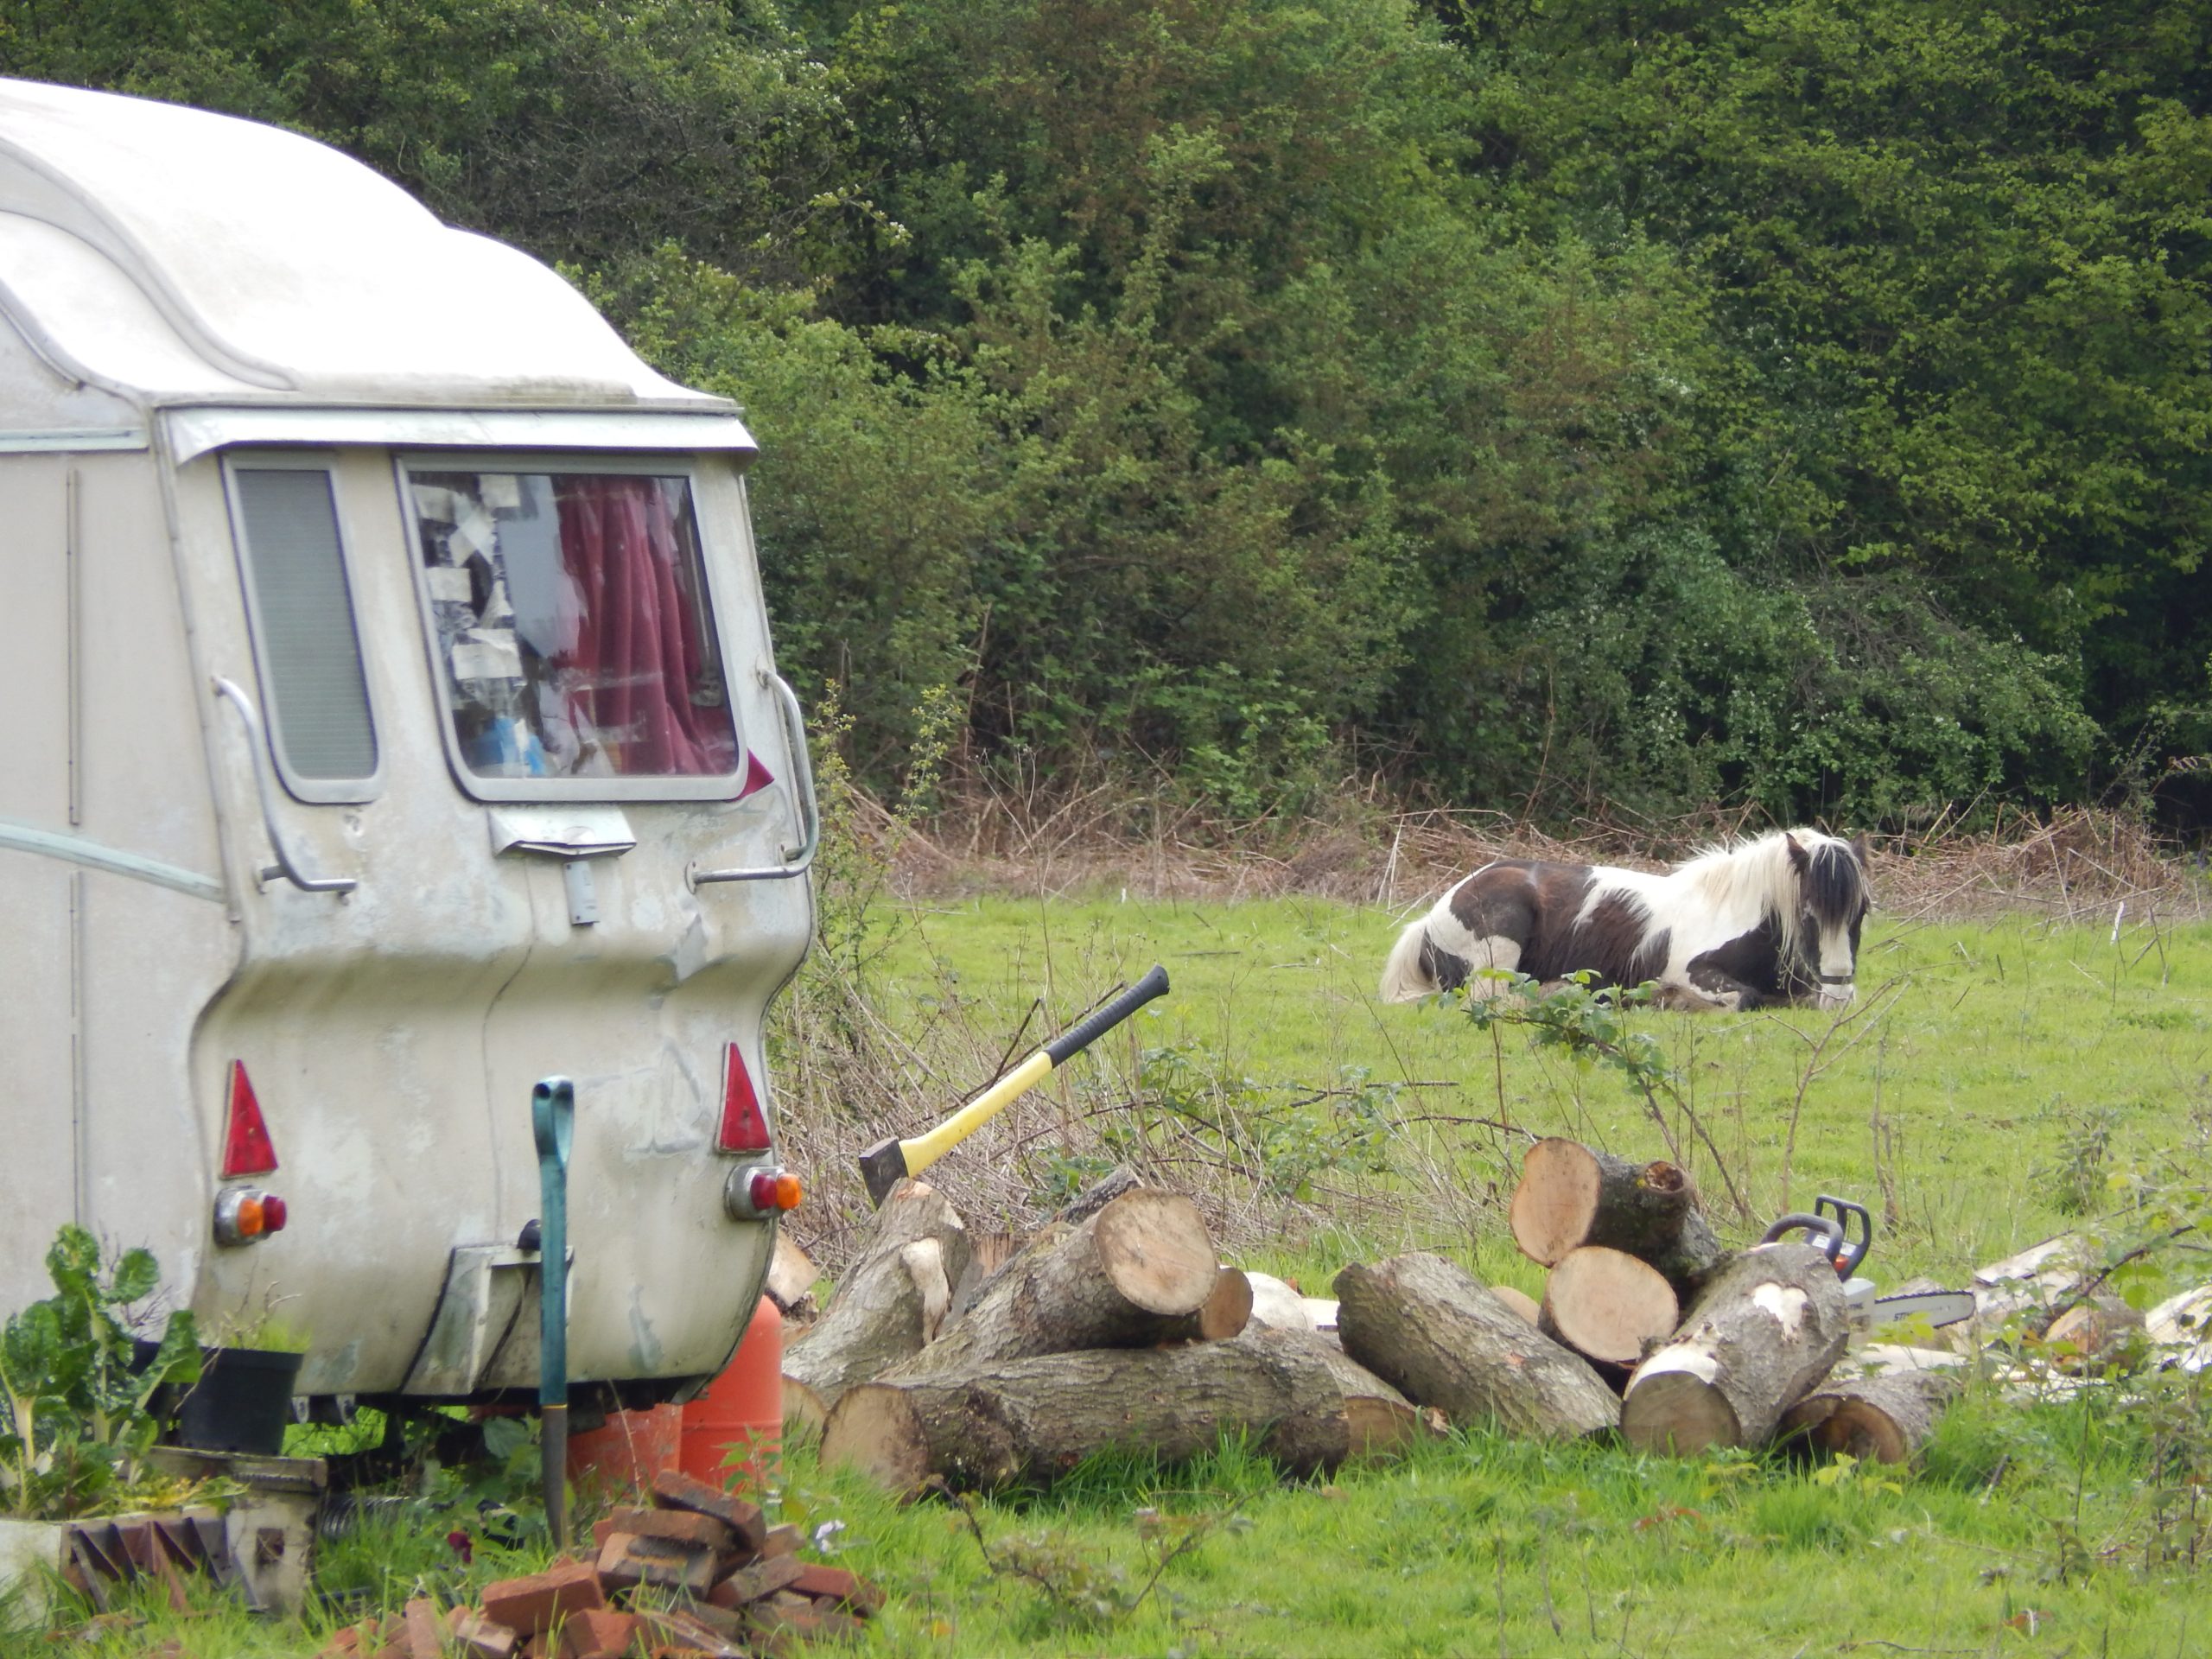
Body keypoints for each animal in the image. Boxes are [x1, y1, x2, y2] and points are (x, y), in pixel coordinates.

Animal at [1380, 831, 1866, 1013]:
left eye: (1860, 914)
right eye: (1809, 914)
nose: (1840, 995)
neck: (1732, 912)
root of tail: (1429, 919)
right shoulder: (1693, 971)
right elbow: (1746, 997)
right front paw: (1671, 999)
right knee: (1499, 996)